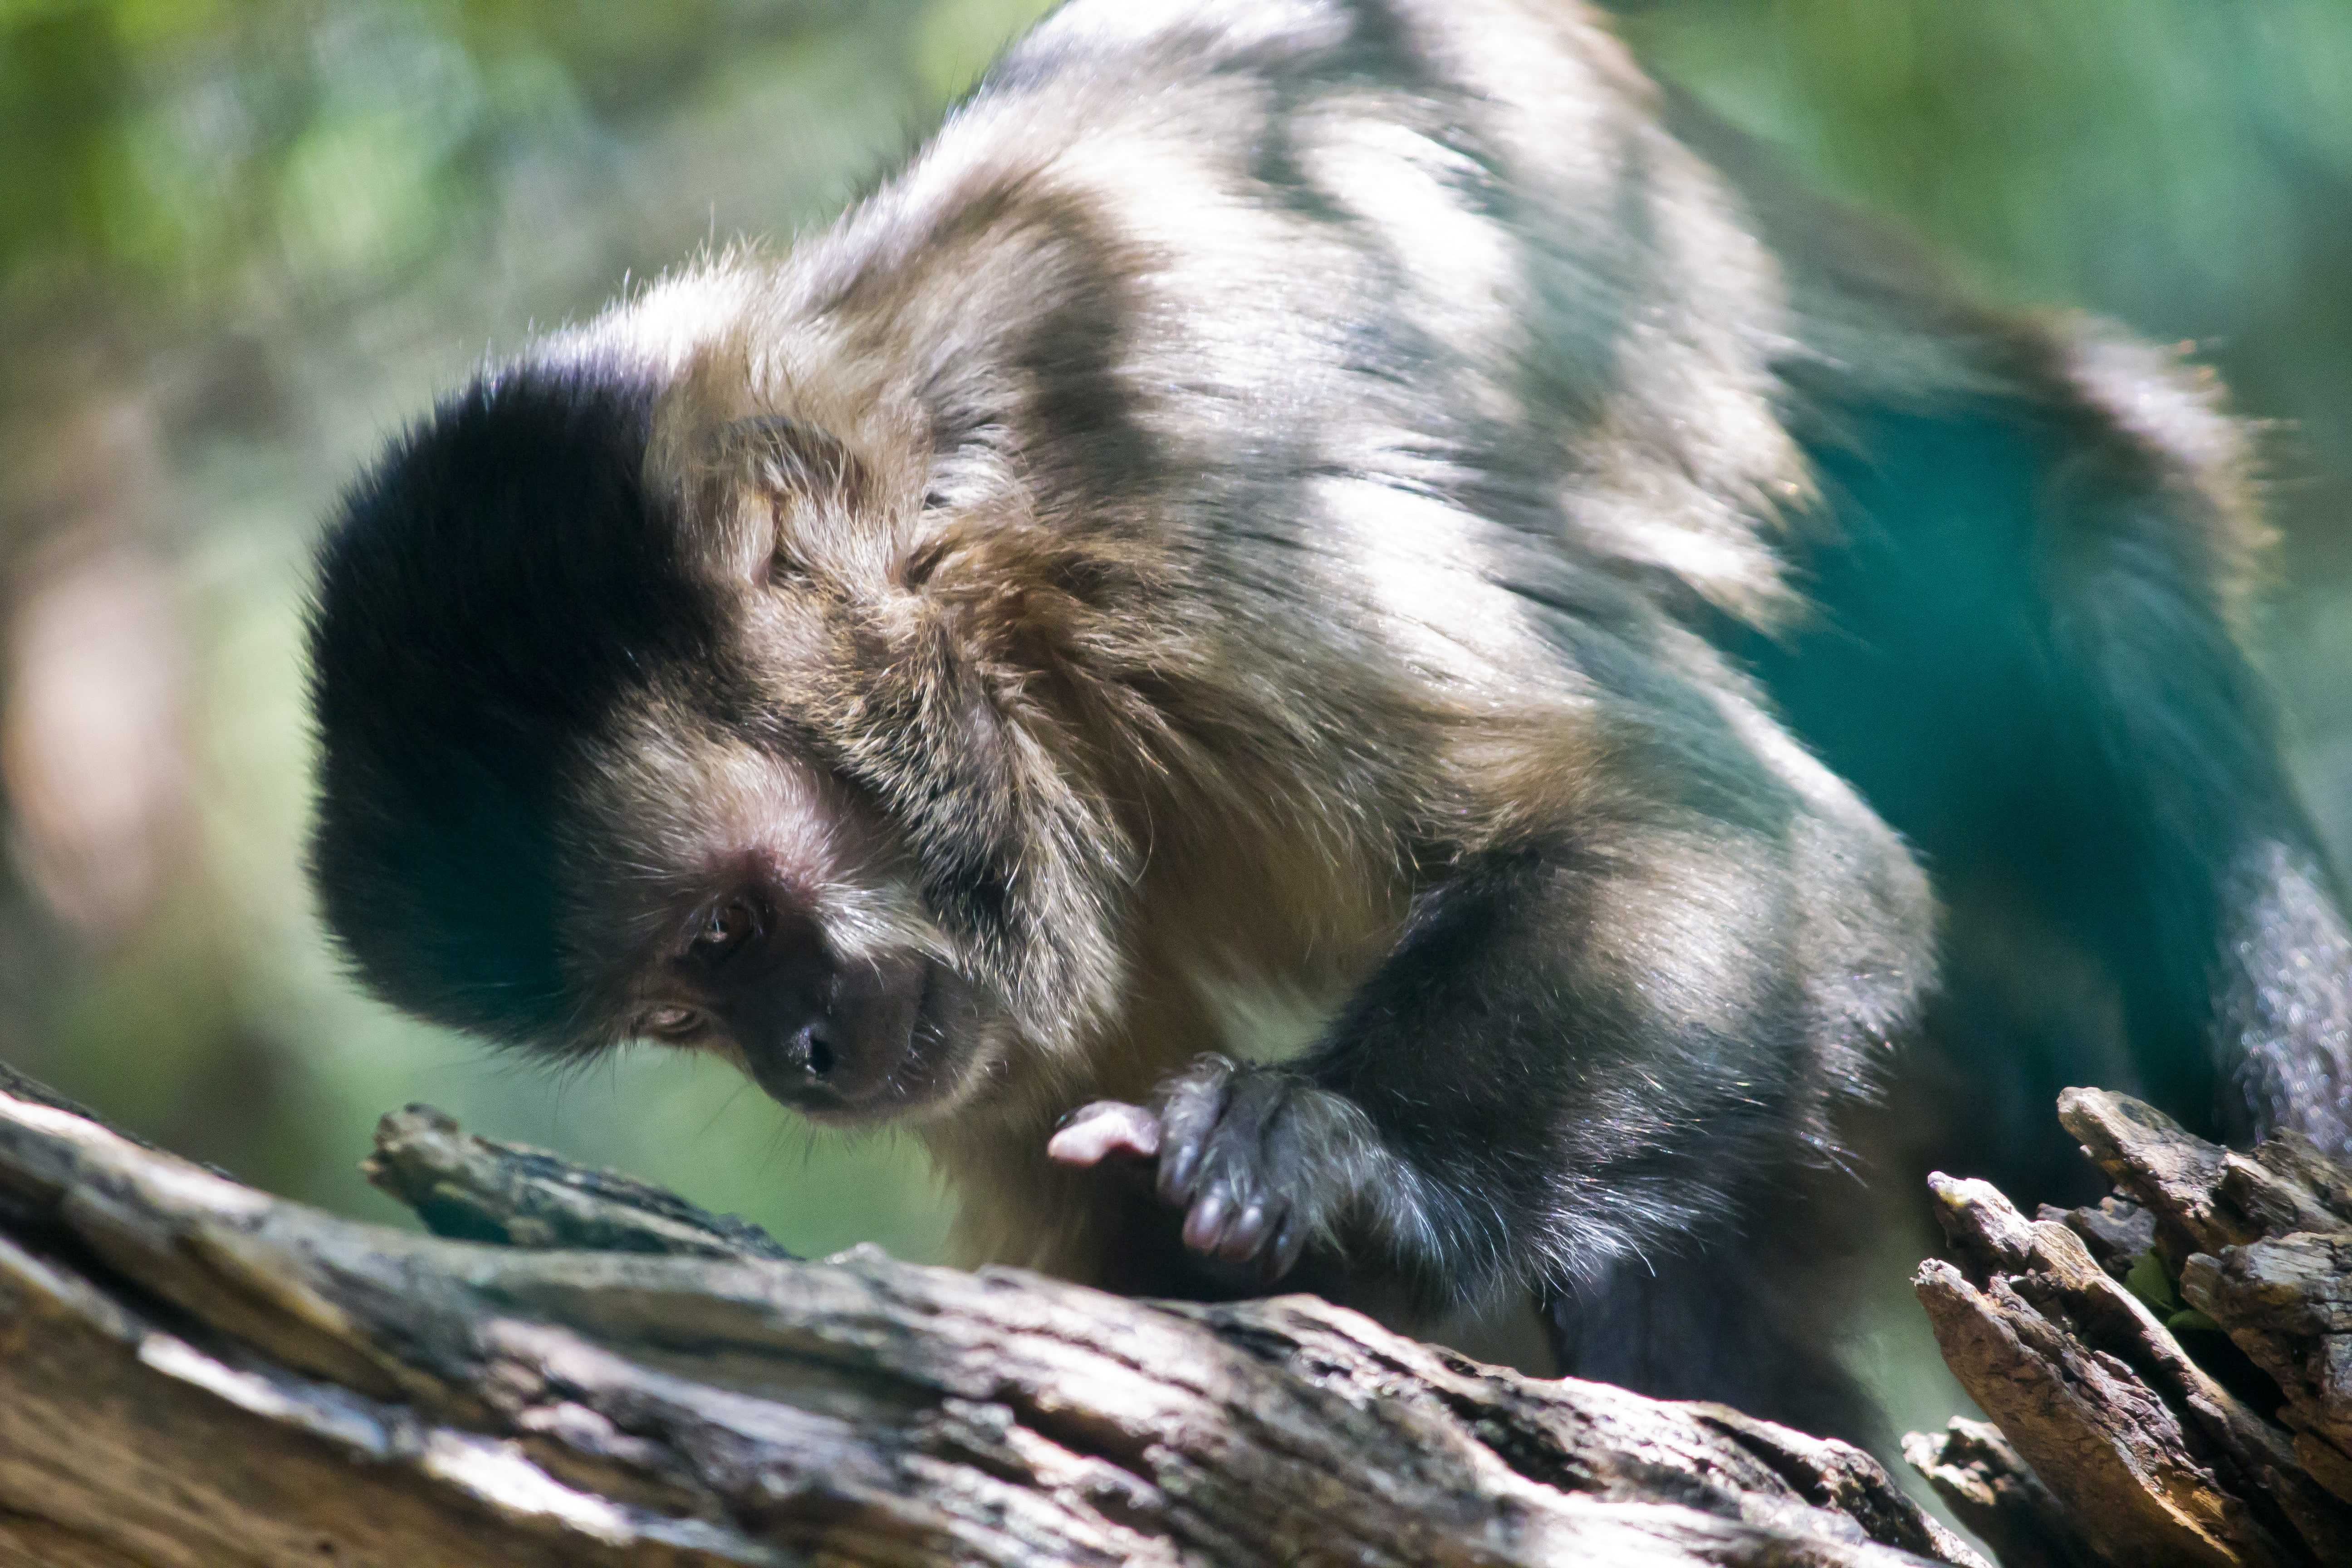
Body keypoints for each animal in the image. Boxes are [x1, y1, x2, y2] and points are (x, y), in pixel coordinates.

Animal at [305, 0, 2352, 1442]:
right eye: (685, 1004)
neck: (963, 558)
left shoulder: (1187, 524)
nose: (798, 1057)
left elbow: (1749, 842)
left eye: (736, 928)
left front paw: (1338, 1158)